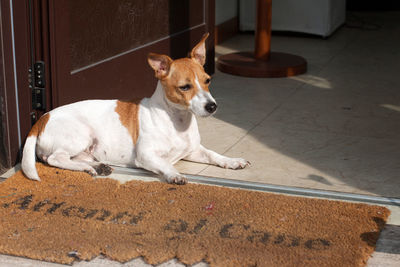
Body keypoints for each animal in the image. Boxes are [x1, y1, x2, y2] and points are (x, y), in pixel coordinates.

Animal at [21, 33, 250, 184]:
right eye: (185, 87)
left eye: (207, 80)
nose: (212, 106)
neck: (176, 121)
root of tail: (42, 118)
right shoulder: (146, 155)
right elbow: (167, 164)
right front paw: (174, 174)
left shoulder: (193, 150)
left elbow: (213, 155)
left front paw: (232, 161)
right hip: (80, 135)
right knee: (55, 158)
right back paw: (88, 167)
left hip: (88, 146)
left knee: (70, 158)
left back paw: (97, 166)